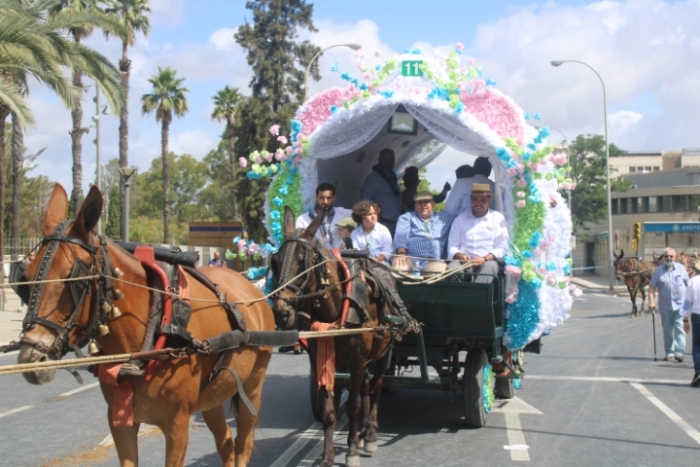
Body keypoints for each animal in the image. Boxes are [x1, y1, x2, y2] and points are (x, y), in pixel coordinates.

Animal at [16, 186, 274, 467]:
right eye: (25, 277)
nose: (32, 356)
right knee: (226, 442)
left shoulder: (177, 424)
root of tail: (249, 285)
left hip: (253, 385)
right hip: (212, 396)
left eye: (75, 278)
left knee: (243, 442)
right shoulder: (121, 421)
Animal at [270, 208, 396, 467]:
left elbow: (351, 406)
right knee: (366, 389)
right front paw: (327, 456)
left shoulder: (357, 362)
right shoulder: (325, 360)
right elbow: (330, 411)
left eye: (303, 259)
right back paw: (361, 434)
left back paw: (370, 434)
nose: (281, 311)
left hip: (382, 354)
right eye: (275, 261)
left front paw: (351, 452)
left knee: (376, 388)